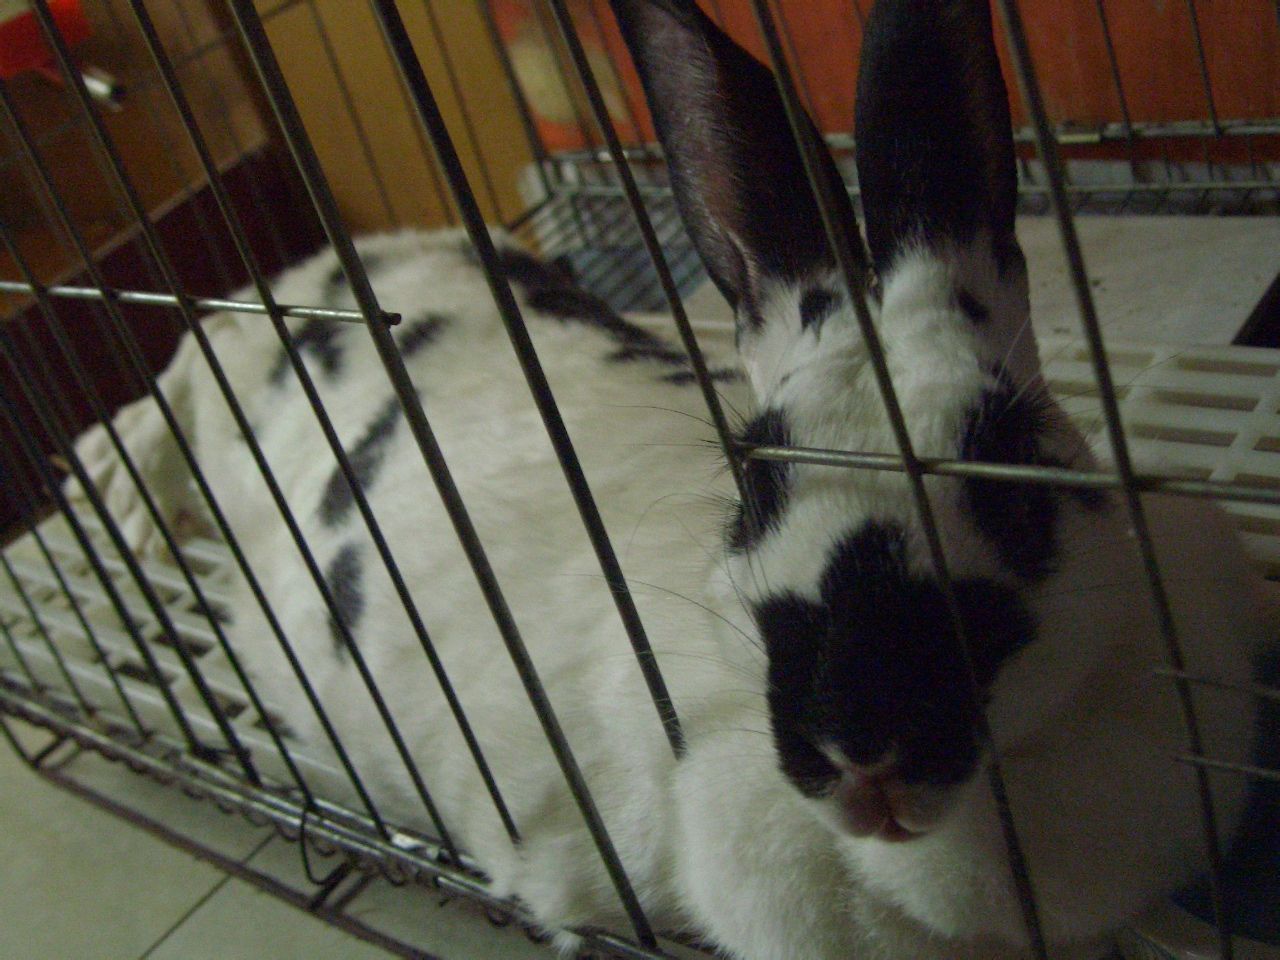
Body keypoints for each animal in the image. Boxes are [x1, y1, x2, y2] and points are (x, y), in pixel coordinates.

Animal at [63, 0, 1270, 957]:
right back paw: (114, 493)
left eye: (1013, 477)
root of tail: (316, 274)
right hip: (222, 382)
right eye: (752, 481)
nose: (858, 744)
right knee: (163, 382)